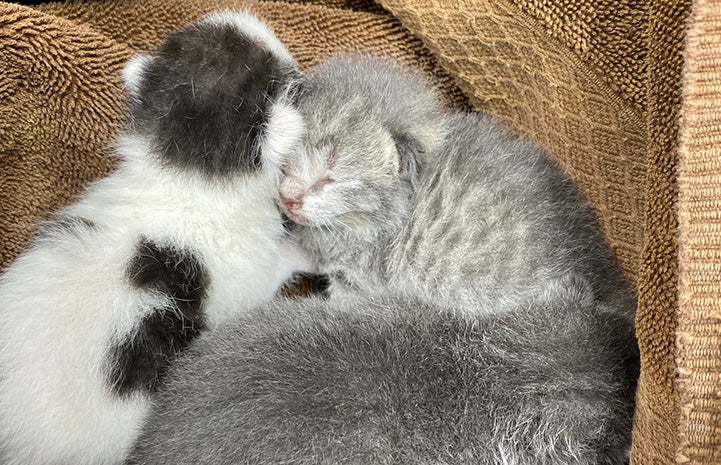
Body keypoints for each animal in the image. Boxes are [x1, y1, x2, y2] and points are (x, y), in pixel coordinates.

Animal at [0, 10, 308, 464]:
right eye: (282, 78)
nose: (301, 65)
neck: (185, 171)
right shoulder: (244, 275)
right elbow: (278, 266)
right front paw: (306, 252)